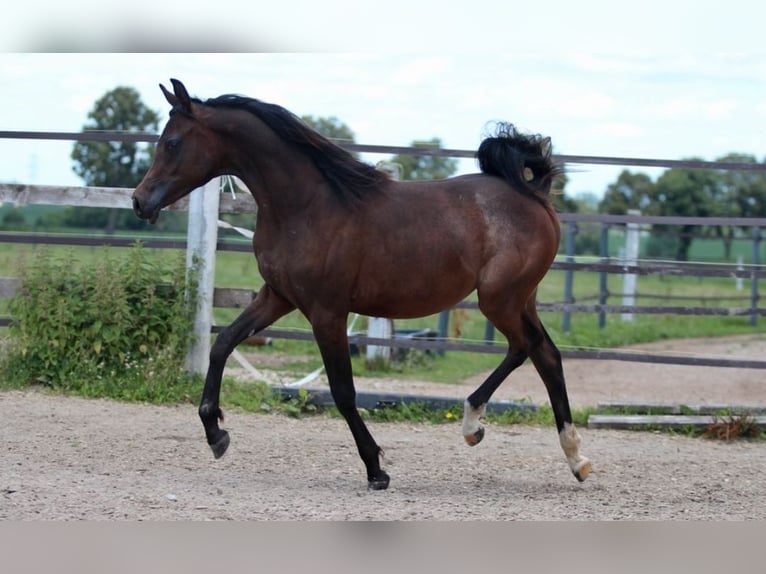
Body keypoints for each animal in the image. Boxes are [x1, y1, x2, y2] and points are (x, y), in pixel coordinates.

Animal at [132, 77, 592, 490]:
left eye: (172, 142)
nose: (139, 201)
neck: (307, 205)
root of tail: (535, 195)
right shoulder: (277, 297)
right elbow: (223, 343)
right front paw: (216, 434)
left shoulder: (327, 312)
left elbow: (343, 392)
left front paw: (376, 470)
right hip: (518, 299)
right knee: (542, 354)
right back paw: (555, 453)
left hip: (500, 299)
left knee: (531, 349)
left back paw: (503, 434)